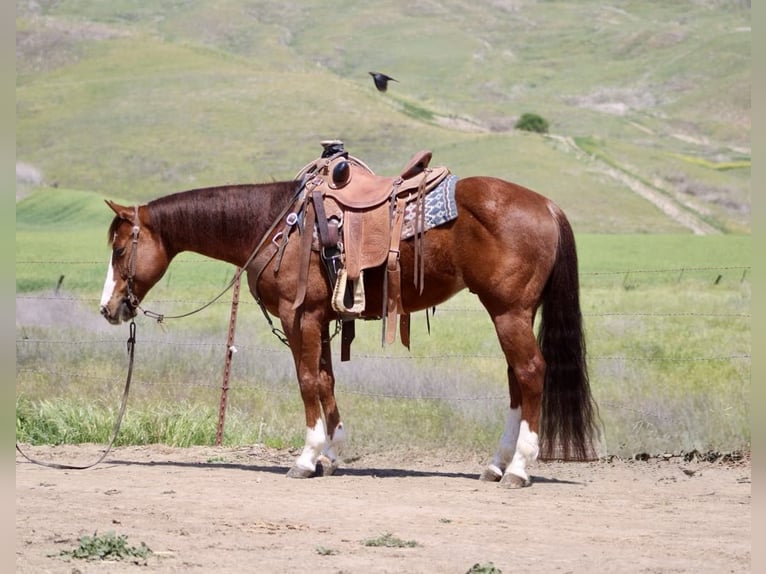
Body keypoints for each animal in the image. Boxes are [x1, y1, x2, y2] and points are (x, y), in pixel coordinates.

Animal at [99, 153, 600, 488]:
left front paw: (306, 458)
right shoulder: (321, 319)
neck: (277, 224)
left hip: (508, 312)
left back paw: (518, 467)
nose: (109, 308)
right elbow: (325, 381)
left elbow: (306, 381)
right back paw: (497, 463)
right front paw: (332, 454)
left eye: (120, 250)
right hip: (513, 313)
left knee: (530, 372)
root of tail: (547, 205)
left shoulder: (299, 316)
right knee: (516, 379)